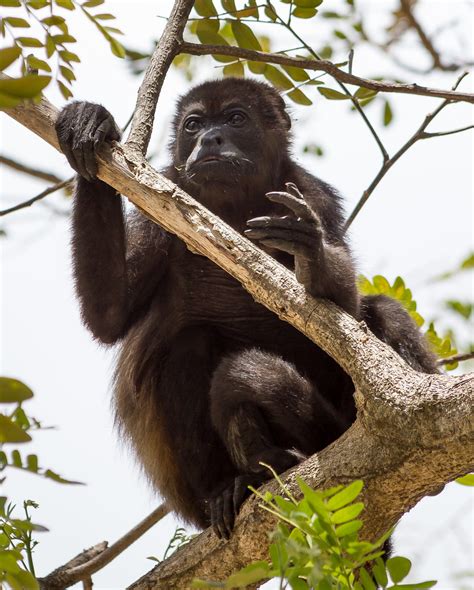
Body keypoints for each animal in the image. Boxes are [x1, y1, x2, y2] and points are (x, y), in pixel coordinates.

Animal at [55, 77, 436, 540]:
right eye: (194, 124)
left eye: (236, 119)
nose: (209, 139)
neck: (233, 206)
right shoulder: (163, 198)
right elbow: (108, 315)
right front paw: (90, 127)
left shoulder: (312, 192)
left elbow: (342, 313)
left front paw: (310, 249)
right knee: (189, 345)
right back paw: (231, 486)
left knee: (382, 308)